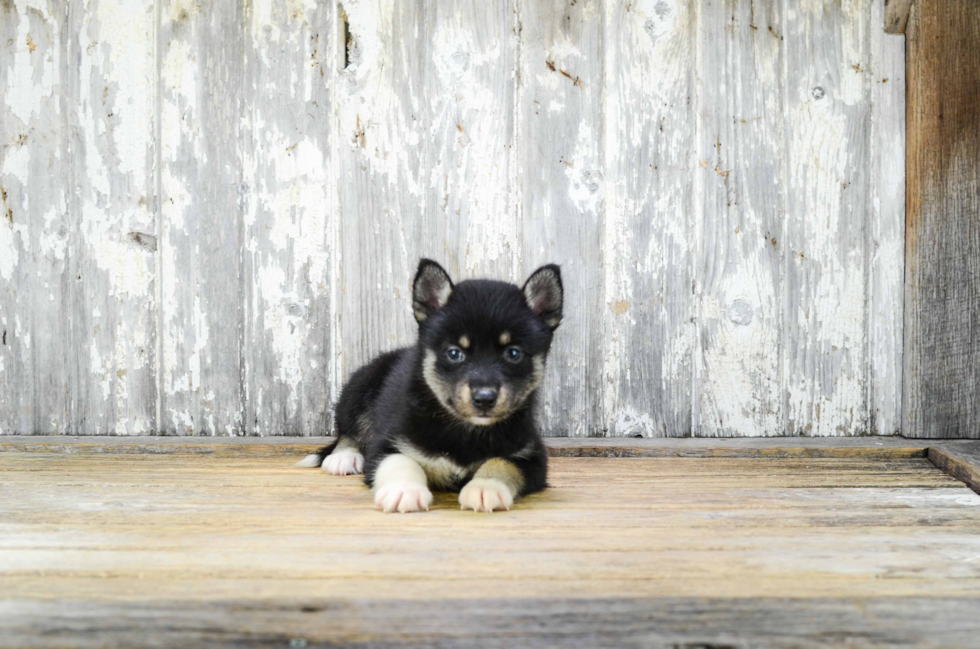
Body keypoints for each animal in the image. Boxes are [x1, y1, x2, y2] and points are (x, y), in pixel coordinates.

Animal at [294, 258, 564, 512]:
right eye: (454, 353)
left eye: (514, 353)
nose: (485, 398)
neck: (466, 430)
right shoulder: (388, 445)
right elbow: (401, 461)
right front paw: (404, 490)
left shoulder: (532, 457)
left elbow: (501, 463)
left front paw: (485, 488)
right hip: (359, 389)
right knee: (348, 432)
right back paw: (344, 457)